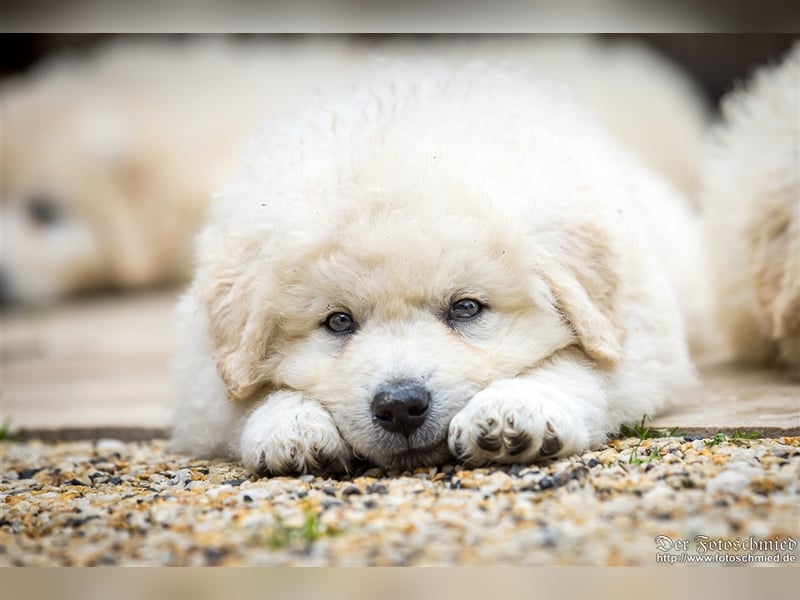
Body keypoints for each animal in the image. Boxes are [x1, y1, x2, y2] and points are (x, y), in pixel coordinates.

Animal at [172, 59, 704, 474]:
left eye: (466, 308)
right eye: (338, 321)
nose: (400, 407)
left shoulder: (638, 344)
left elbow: (578, 367)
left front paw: (515, 410)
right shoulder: (204, 379)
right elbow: (247, 397)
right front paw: (291, 427)